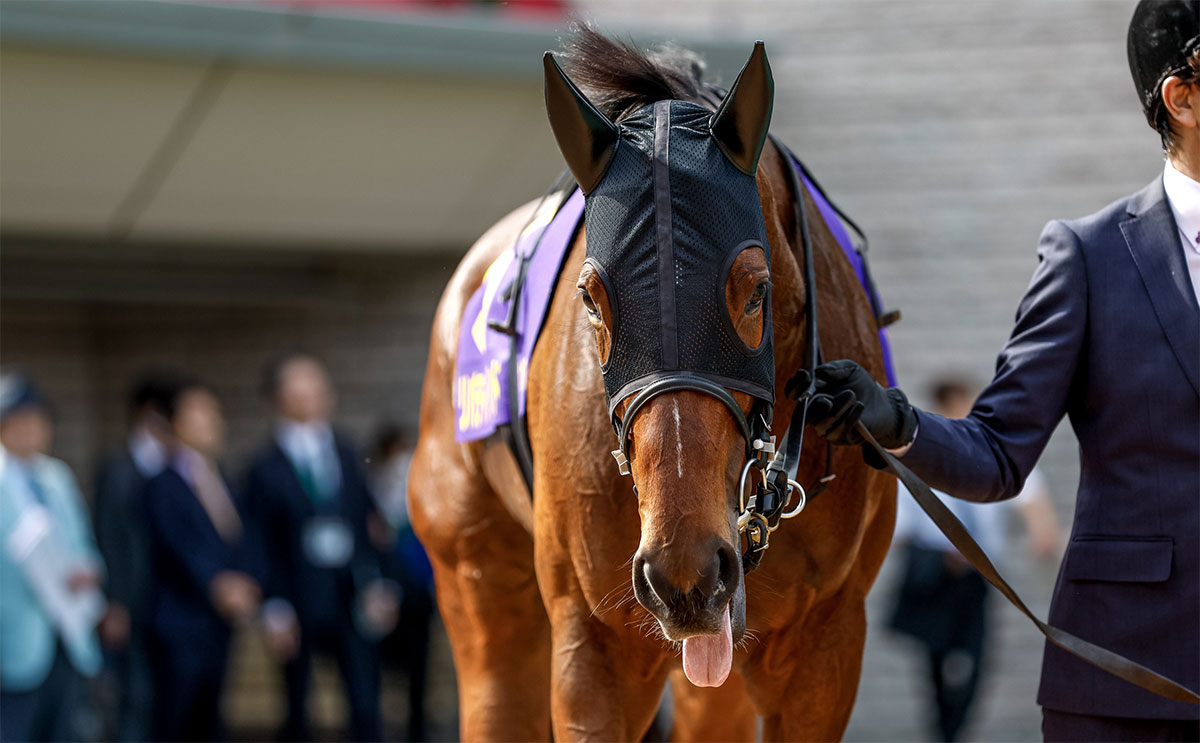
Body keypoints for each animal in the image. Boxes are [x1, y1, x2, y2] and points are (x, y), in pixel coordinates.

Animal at [408, 31, 897, 739]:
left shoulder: (824, 644)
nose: (683, 570)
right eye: (590, 298)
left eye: (757, 292)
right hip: (483, 593)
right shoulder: (595, 647)